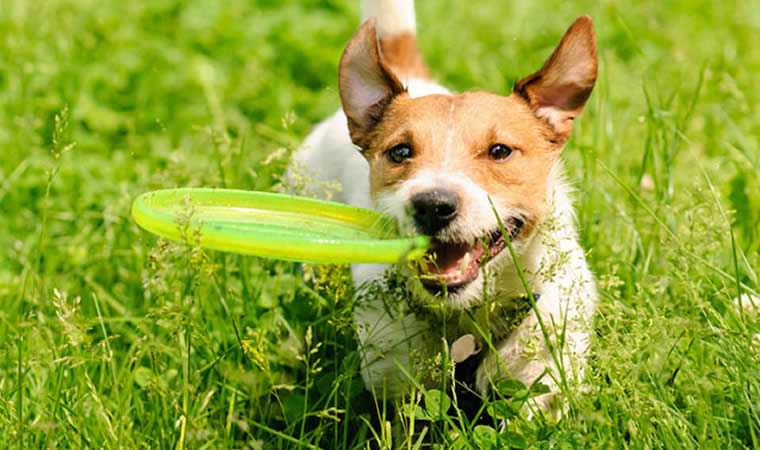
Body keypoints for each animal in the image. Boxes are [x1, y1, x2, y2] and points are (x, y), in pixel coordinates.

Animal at [290, 0, 600, 414]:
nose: (433, 205)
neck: (467, 320)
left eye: (499, 150)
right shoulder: (395, 385)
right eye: (400, 152)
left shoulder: (540, 377)